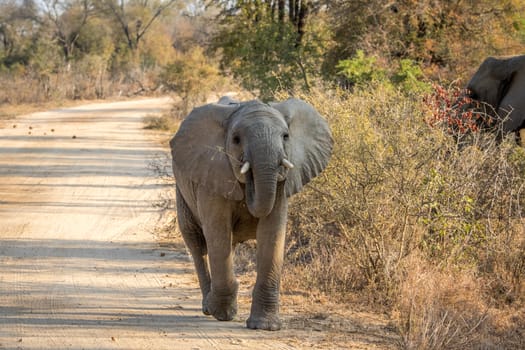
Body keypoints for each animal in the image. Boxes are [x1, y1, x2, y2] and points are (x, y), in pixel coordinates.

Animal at [170, 96, 330, 330]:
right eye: (236, 139)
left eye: (286, 136)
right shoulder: (213, 174)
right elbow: (217, 231)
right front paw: (223, 313)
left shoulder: (282, 183)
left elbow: (272, 232)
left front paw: (265, 326)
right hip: (182, 191)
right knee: (197, 243)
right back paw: (209, 307)